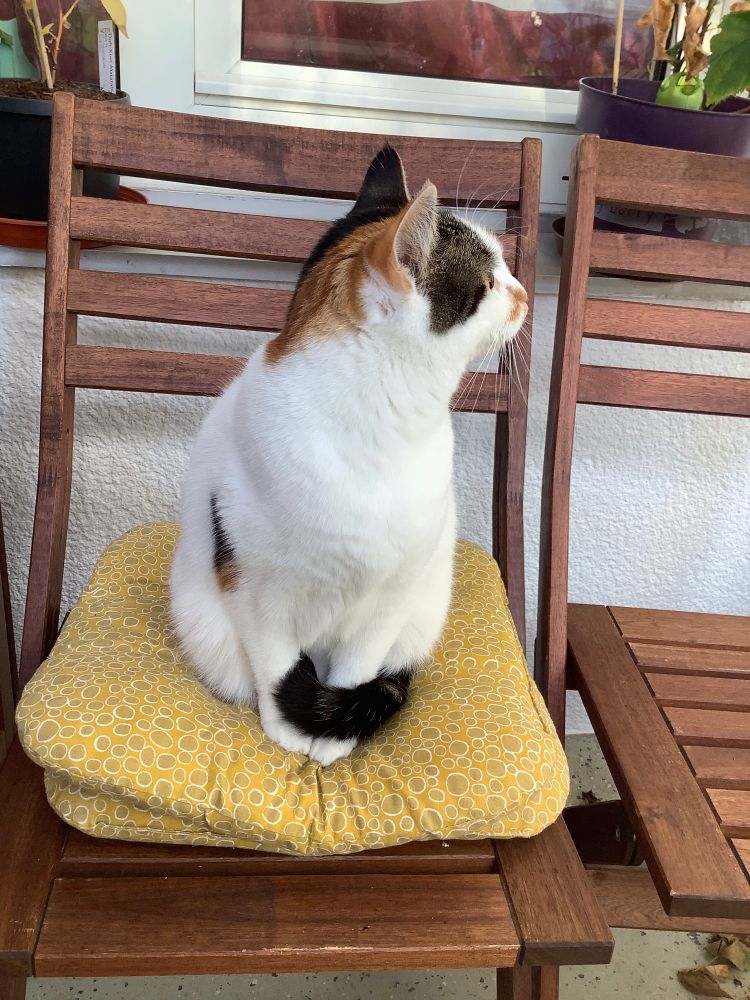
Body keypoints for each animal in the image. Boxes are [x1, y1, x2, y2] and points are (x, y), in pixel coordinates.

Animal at [170, 145, 528, 766]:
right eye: (488, 281)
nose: (526, 294)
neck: (379, 426)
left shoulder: (394, 594)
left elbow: (355, 670)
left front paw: (333, 738)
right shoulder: (252, 590)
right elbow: (274, 668)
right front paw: (291, 734)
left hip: (424, 610)